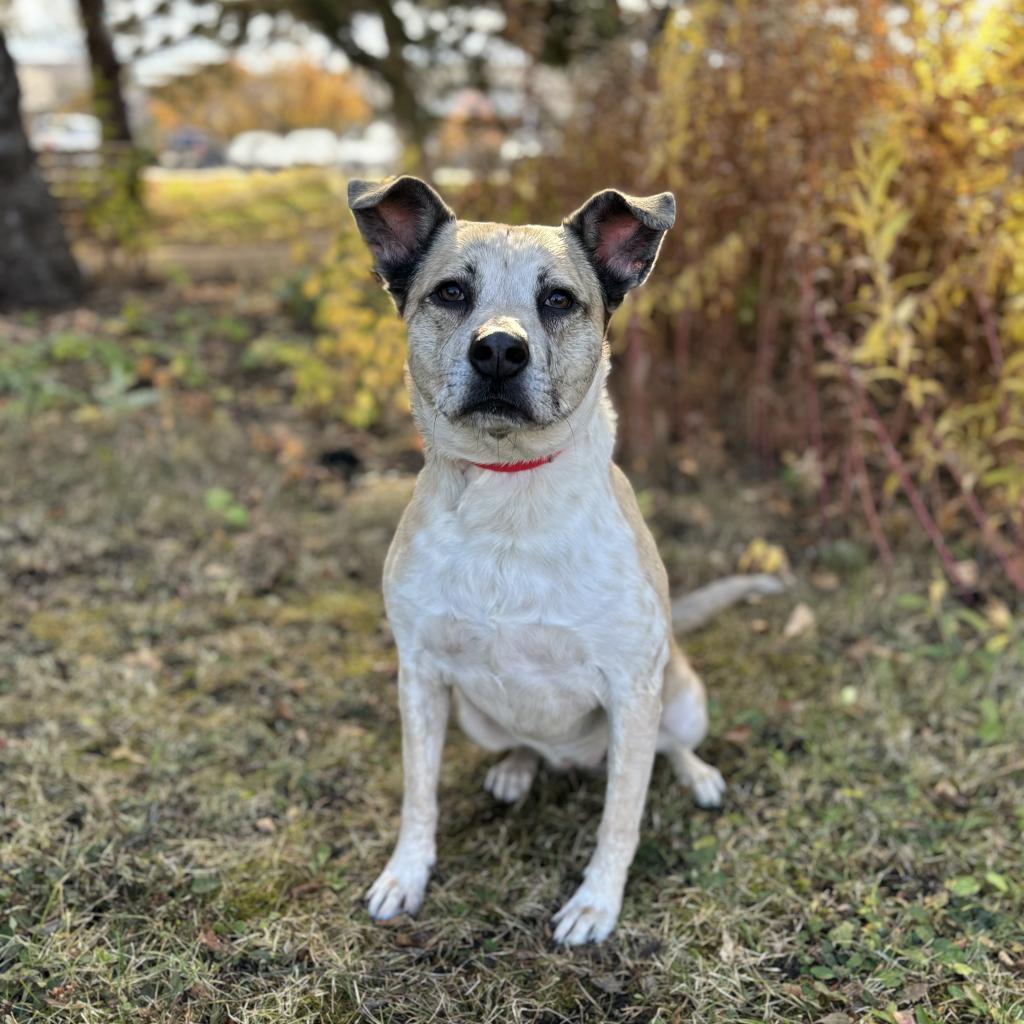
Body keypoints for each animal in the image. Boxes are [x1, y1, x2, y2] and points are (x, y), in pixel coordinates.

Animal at [346, 176, 737, 942]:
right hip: (475, 715)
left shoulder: (632, 690)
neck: (509, 492)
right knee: (524, 741)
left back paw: (696, 774)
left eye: (557, 299)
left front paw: (597, 903)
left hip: (679, 699)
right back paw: (518, 767)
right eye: (451, 293)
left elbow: (621, 818)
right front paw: (406, 875)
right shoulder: (420, 677)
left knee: (669, 747)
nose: (499, 351)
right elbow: (418, 796)